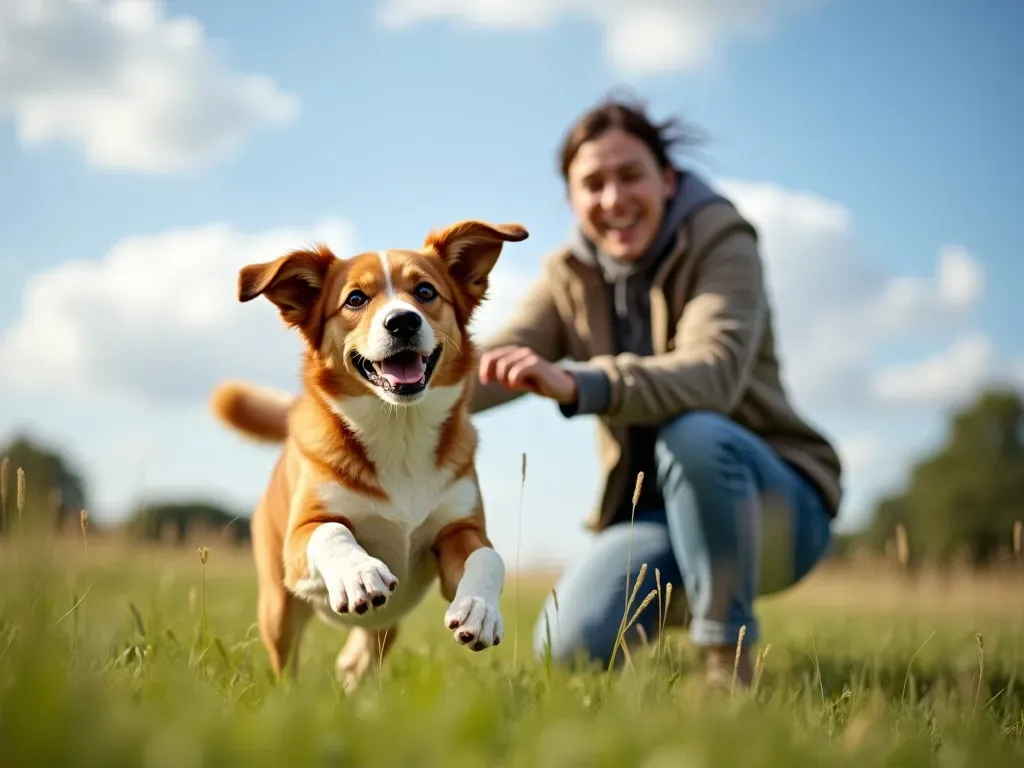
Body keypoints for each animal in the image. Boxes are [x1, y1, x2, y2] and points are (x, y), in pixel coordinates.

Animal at [207, 219, 528, 688]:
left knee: (367, 650)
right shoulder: (301, 536)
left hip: (384, 626)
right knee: (286, 661)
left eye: (426, 291)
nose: (403, 321)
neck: (399, 430)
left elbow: (488, 555)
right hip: (278, 608)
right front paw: (358, 574)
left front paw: (480, 610)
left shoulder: (459, 529)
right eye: (355, 298)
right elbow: (331, 531)